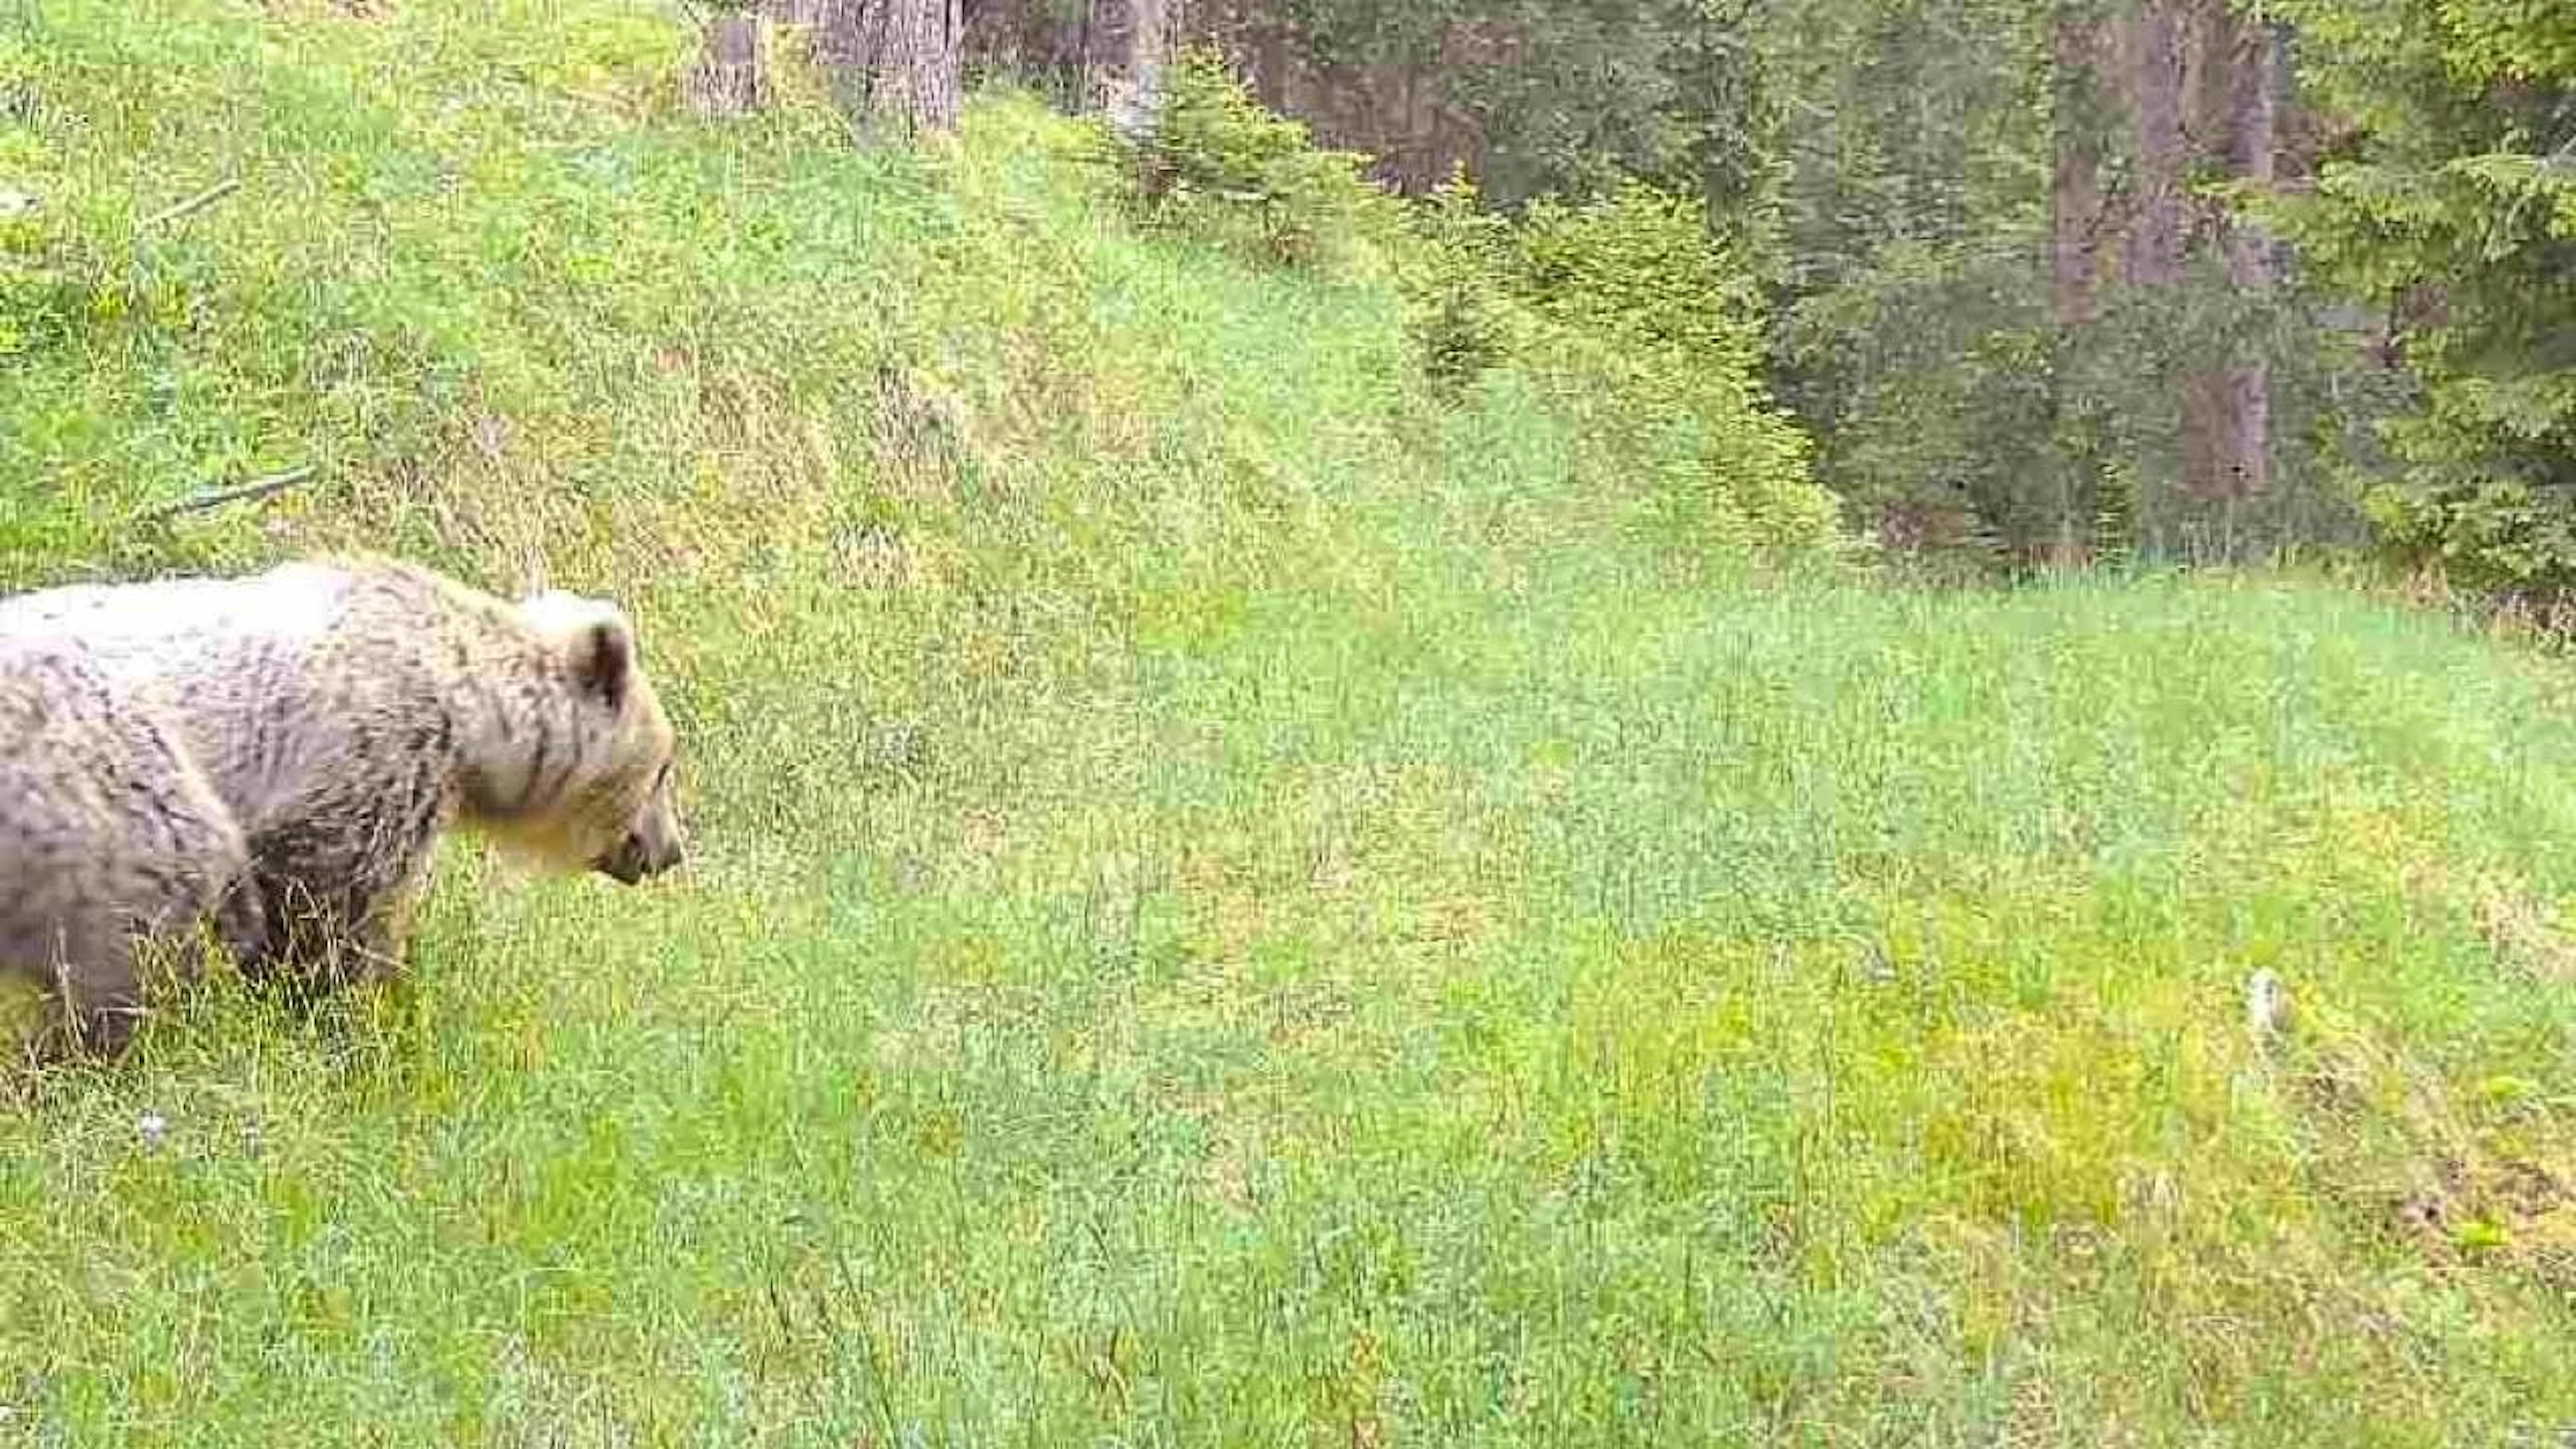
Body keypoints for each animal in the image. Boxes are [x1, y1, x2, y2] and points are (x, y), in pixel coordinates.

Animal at [0, 554, 686, 1059]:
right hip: (98, 783)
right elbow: (332, 914)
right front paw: (346, 1017)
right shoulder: (372, 758)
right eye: (663, 768)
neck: (474, 720)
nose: (670, 850)